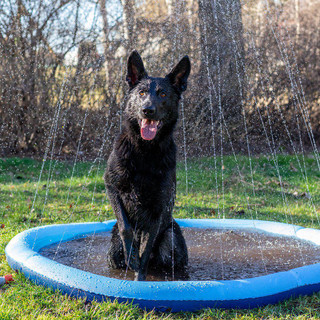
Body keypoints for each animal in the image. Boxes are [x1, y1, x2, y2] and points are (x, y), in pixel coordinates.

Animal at [104, 50, 190, 280]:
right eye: (141, 93)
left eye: (163, 94)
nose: (147, 110)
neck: (144, 151)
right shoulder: (112, 187)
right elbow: (126, 229)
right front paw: (131, 256)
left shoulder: (158, 207)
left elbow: (146, 244)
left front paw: (139, 279)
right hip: (113, 249)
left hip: (171, 240)